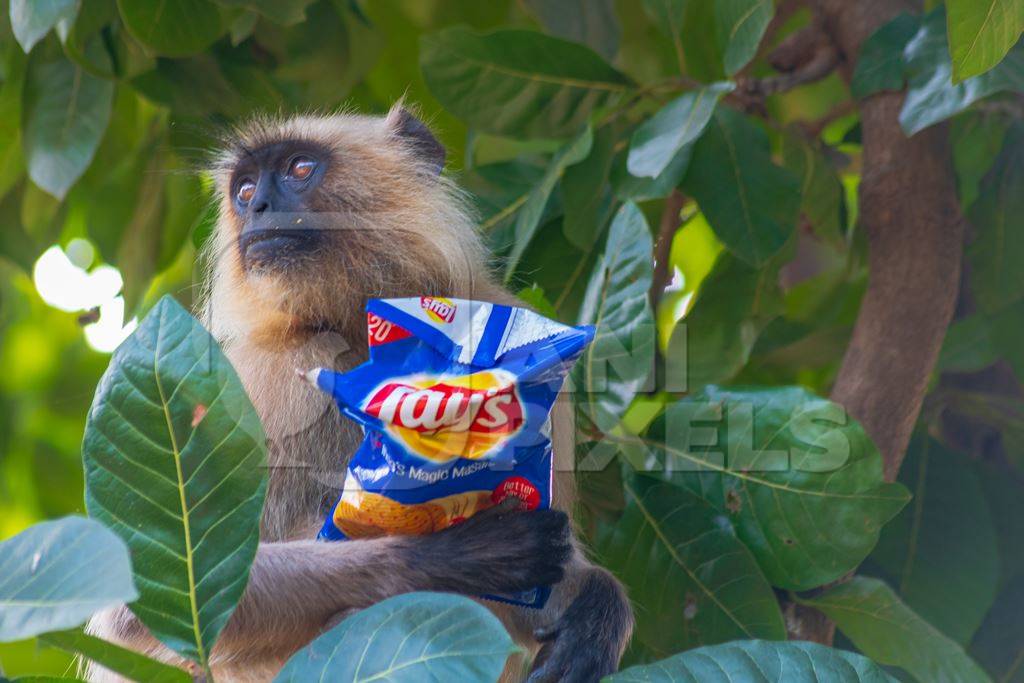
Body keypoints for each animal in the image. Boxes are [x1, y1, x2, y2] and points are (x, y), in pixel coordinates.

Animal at [88, 102, 630, 683]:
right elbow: (148, 610)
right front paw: (457, 553)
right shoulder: (261, 376)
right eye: (245, 188)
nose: (257, 206)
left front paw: (598, 609)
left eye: (299, 169)